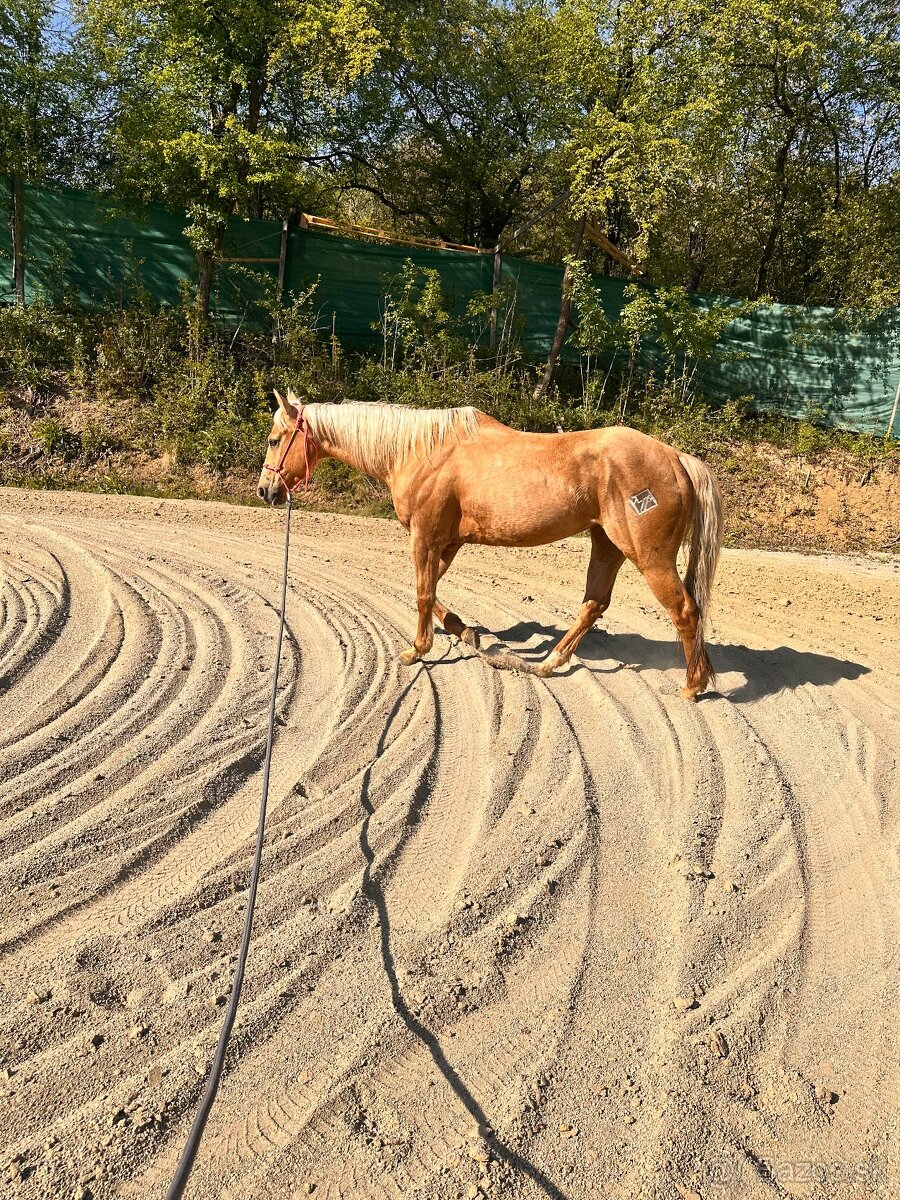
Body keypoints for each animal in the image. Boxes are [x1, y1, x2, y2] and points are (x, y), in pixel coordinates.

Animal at [257, 391, 724, 699]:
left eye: (274, 439)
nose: (265, 490)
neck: (420, 451)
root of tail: (677, 458)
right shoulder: (447, 542)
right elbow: (433, 591)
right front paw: (464, 632)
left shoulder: (425, 536)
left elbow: (422, 592)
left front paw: (417, 649)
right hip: (606, 545)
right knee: (594, 604)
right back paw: (549, 663)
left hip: (649, 557)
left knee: (685, 612)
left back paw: (691, 686)